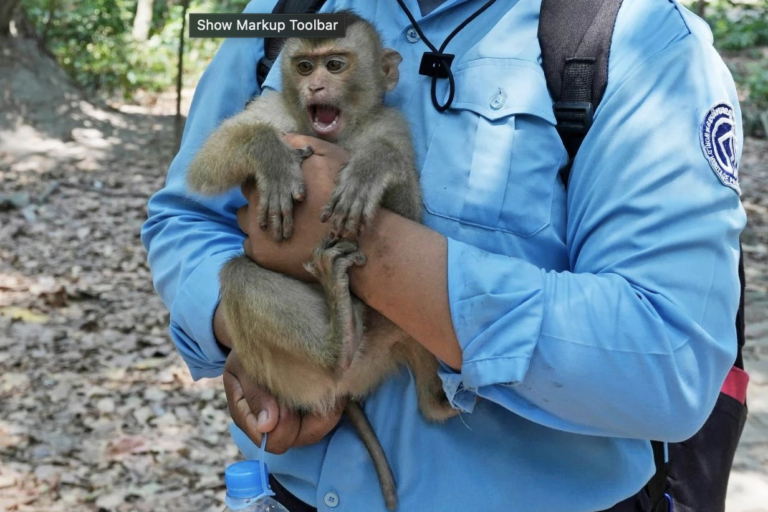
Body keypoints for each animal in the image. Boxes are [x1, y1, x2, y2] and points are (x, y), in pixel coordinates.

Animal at [188, 10, 456, 510]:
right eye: (304, 67)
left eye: (334, 65)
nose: (314, 87)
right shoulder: (276, 110)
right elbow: (209, 161)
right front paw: (270, 157)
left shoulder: (391, 124)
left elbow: (410, 219)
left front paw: (374, 165)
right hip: (295, 377)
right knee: (238, 274)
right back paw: (340, 343)